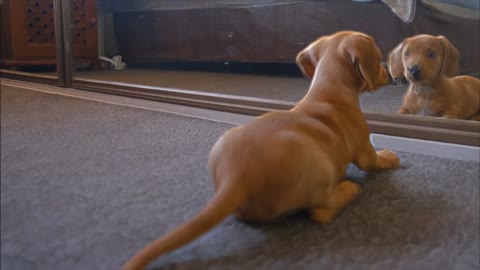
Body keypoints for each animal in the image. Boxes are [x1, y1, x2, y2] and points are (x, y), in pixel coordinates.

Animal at [122, 31, 400, 270]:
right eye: (377, 56)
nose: (390, 76)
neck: (328, 90)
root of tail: (236, 179)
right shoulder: (364, 148)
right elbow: (373, 161)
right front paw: (389, 156)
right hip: (318, 168)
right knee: (320, 211)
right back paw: (348, 189)